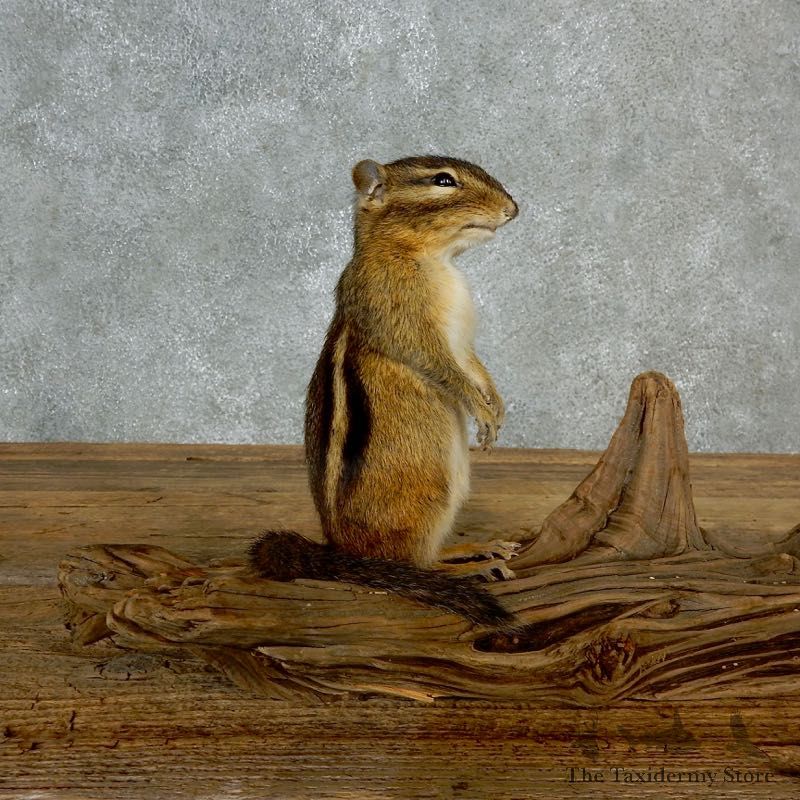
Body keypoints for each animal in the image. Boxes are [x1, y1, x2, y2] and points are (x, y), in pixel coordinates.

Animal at [249, 155, 519, 628]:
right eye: (443, 180)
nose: (513, 209)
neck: (432, 259)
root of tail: (340, 550)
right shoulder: (404, 320)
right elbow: (442, 368)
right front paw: (481, 409)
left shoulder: (462, 340)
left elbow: (473, 365)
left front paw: (496, 404)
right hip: (431, 494)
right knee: (412, 563)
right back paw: (470, 567)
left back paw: (472, 548)